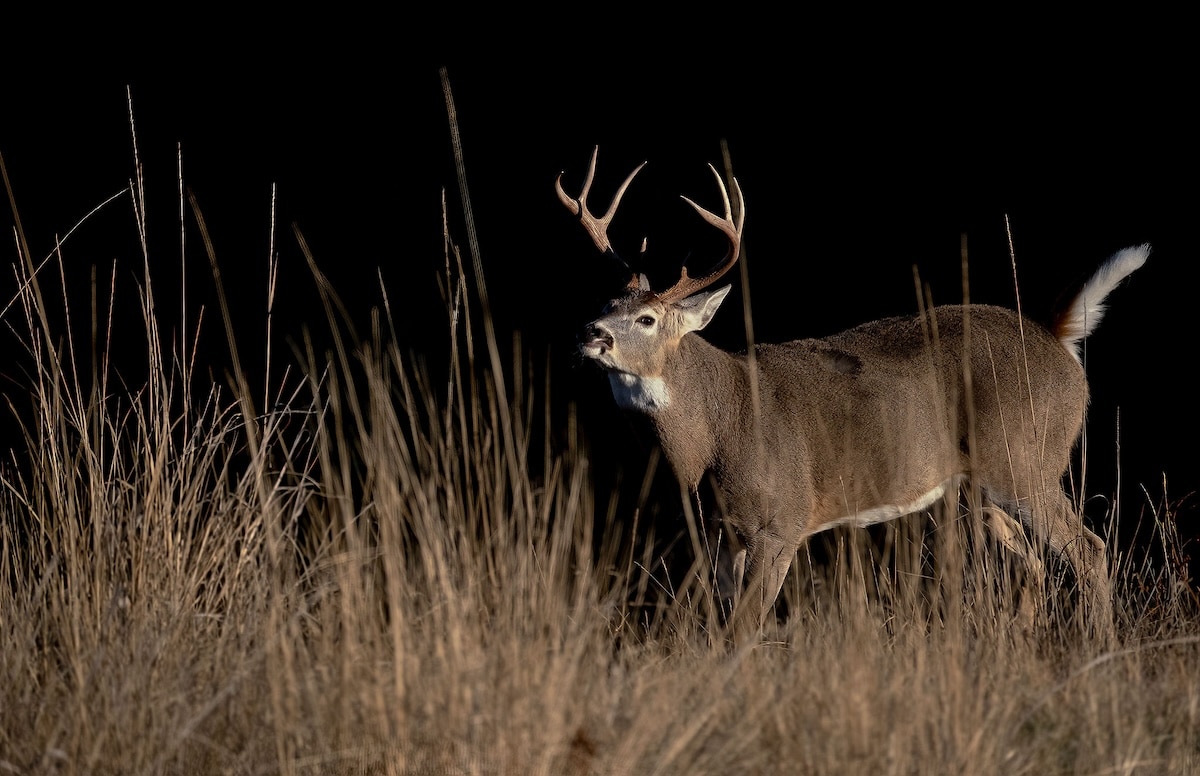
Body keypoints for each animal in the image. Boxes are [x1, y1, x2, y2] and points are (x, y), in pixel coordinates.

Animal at [558, 146, 1148, 645]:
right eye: (606, 303)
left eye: (647, 319)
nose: (591, 333)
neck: (714, 433)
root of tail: (1056, 338)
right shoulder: (720, 535)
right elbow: (723, 627)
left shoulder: (780, 522)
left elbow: (743, 631)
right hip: (975, 487)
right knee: (1034, 562)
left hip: (1025, 460)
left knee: (1089, 550)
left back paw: (1100, 647)